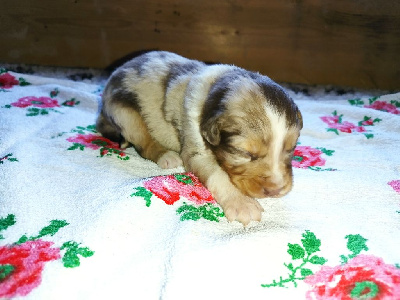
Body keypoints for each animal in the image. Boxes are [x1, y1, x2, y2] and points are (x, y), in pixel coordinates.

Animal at [97, 51, 304, 225]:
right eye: (243, 152)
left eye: (291, 148)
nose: (276, 190)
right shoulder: (195, 147)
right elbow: (217, 174)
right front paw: (242, 204)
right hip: (125, 113)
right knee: (144, 143)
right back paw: (166, 156)